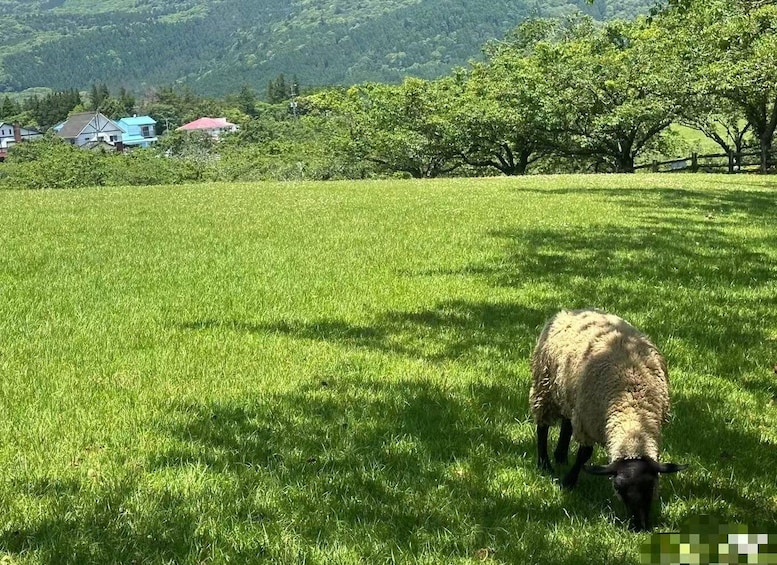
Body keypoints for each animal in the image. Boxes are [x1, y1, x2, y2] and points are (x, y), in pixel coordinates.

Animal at [529, 308, 687, 531]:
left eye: (652, 486)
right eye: (618, 487)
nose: (639, 527)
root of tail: (572, 310)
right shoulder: (587, 421)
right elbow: (584, 454)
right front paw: (568, 482)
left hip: (570, 395)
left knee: (567, 423)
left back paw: (560, 455)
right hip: (545, 384)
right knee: (542, 425)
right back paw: (545, 463)